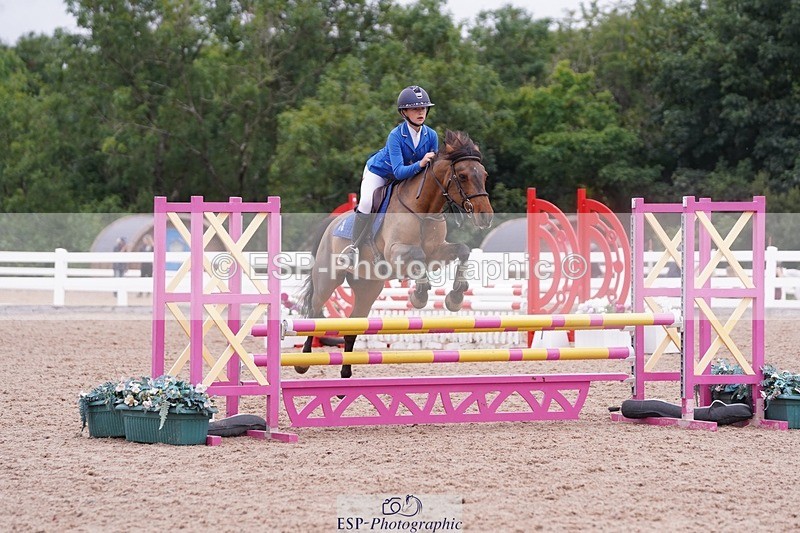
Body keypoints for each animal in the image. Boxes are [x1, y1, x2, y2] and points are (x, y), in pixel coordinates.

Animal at [296, 130, 494, 378]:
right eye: (463, 175)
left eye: (484, 174)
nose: (485, 216)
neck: (423, 210)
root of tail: (331, 225)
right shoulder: (395, 253)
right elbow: (418, 255)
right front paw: (419, 295)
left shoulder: (437, 253)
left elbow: (463, 250)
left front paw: (456, 296)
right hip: (327, 281)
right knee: (313, 311)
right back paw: (303, 361)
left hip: (368, 288)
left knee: (352, 324)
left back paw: (346, 373)